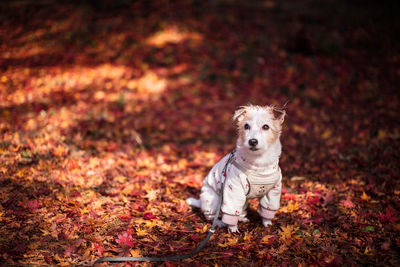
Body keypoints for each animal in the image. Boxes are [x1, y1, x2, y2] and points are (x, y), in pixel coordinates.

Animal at [187, 103, 284, 233]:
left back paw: (242, 218)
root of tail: (201, 201)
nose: (252, 141)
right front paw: (232, 230)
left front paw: (267, 224)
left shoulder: (273, 191)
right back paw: (219, 223)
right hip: (213, 200)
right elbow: (231, 212)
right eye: (246, 126)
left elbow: (267, 209)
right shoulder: (233, 190)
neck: (259, 163)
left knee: (240, 210)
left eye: (266, 127)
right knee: (211, 216)